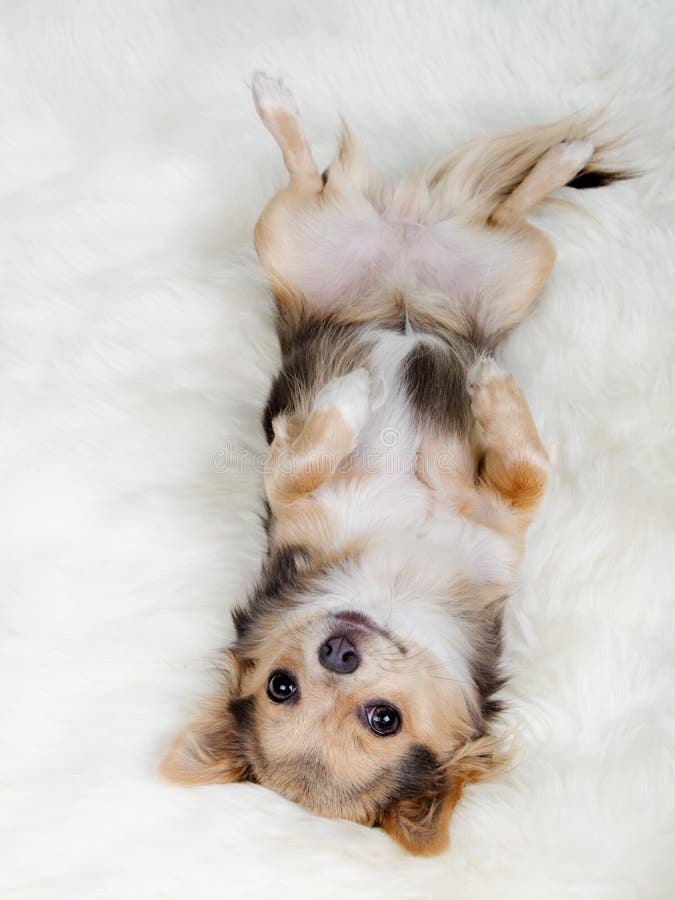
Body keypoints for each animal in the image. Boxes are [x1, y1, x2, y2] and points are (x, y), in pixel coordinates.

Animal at [161, 74, 632, 856]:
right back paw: (275, 101)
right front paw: (364, 398)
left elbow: (523, 467)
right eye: (281, 687)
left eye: (382, 718)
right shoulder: (307, 503)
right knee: (307, 176)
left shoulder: (494, 525)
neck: (393, 581)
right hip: (289, 237)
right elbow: (300, 462)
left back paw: (564, 155)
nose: (340, 649)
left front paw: (476, 392)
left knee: (504, 207)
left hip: (517, 267)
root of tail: (404, 242)